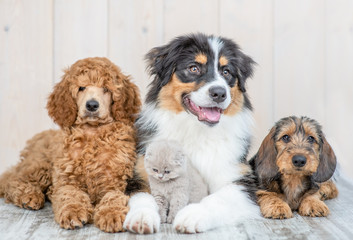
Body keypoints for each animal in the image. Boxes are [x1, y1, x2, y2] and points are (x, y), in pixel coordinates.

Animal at [0, 56, 140, 232]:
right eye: (81, 88)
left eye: (106, 89)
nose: (92, 105)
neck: (92, 133)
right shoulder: (66, 180)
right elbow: (71, 195)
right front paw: (73, 212)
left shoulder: (116, 182)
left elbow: (113, 196)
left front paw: (111, 214)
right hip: (41, 165)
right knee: (12, 180)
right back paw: (29, 195)